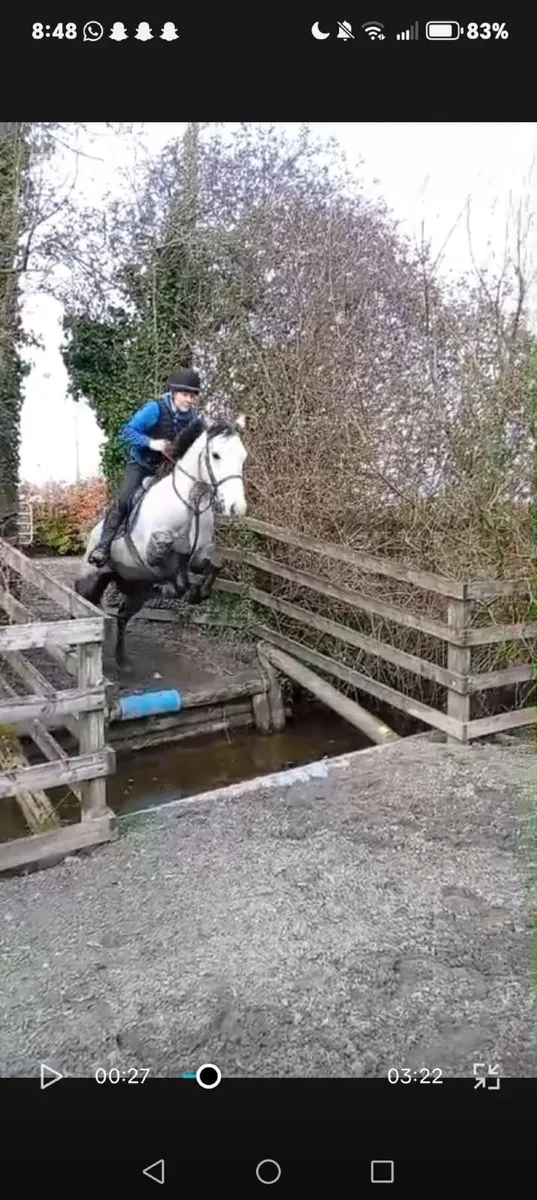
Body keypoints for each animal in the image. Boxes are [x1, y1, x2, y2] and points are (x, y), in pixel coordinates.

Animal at [75, 416, 247, 667]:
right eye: (216, 455)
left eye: (243, 456)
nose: (237, 507)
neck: (191, 503)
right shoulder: (151, 552)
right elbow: (172, 557)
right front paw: (181, 587)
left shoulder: (201, 552)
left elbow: (211, 563)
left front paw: (195, 593)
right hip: (91, 578)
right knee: (79, 604)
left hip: (137, 590)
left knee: (123, 615)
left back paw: (122, 660)